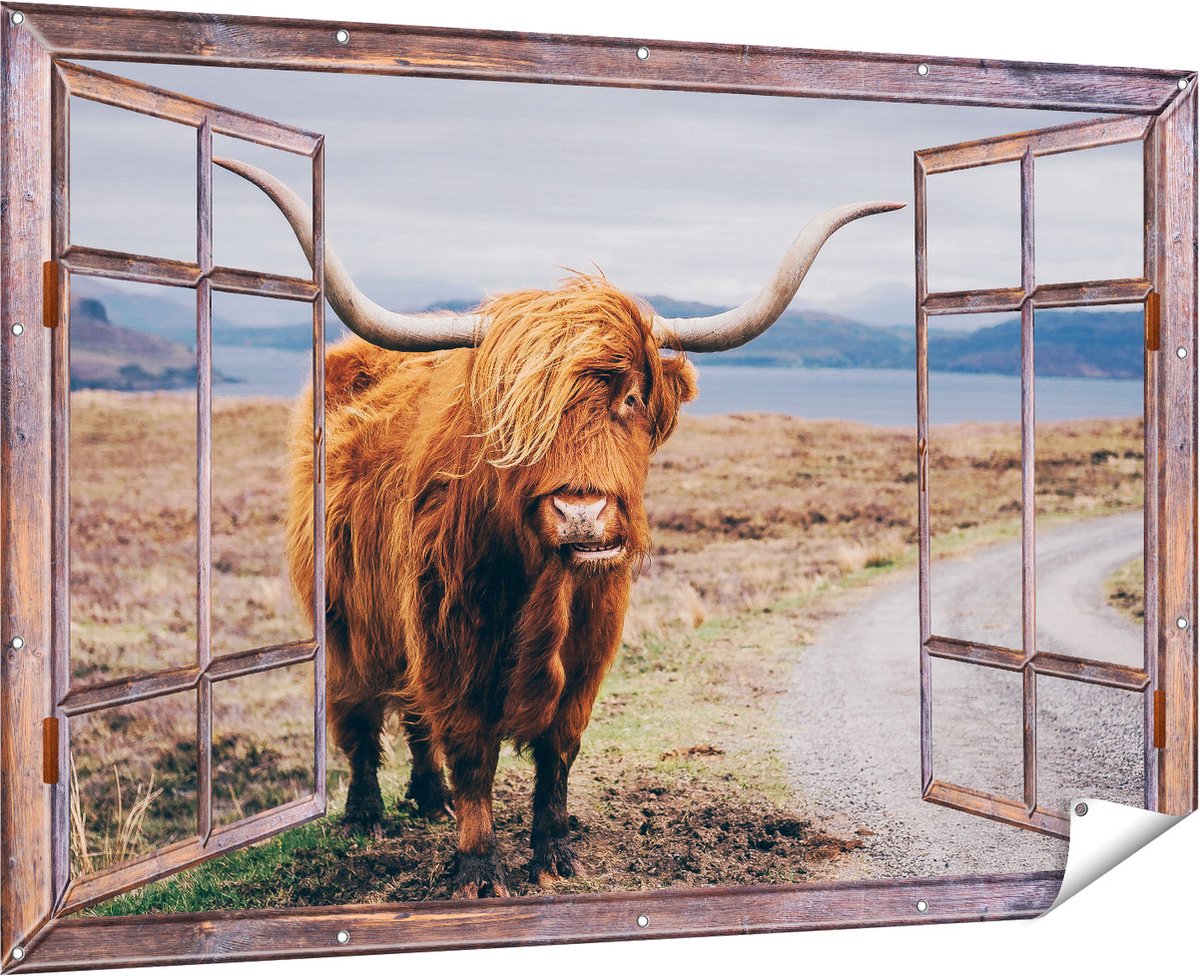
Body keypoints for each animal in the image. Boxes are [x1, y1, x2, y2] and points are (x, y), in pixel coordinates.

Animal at [217, 157, 901, 898]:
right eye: (516, 413)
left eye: (631, 397)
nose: (581, 514)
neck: (542, 587)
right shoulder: (450, 640)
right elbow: (472, 753)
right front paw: (478, 869)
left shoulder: (589, 649)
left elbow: (558, 752)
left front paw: (552, 853)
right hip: (343, 618)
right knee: (360, 715)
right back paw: (367, 815)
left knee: (413, 719)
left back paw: (428, 800)